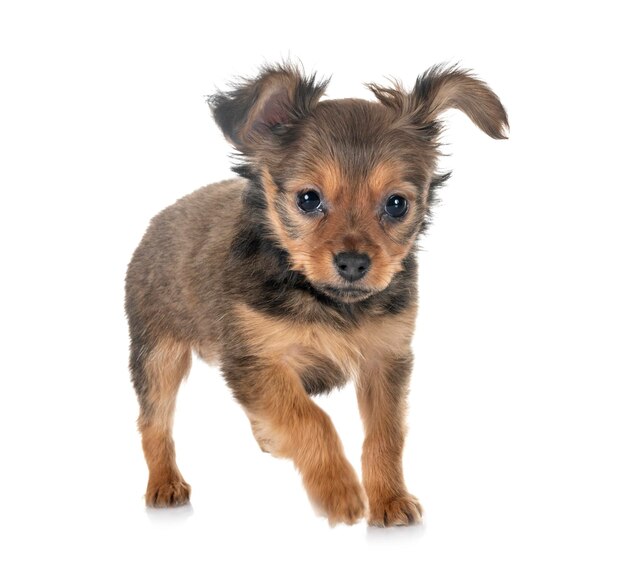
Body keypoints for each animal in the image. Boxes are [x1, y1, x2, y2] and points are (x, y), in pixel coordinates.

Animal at [124, 64, 504, 532]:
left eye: (397, 204)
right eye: (309, 199)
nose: (354, 263)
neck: (326, 300)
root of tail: (161, 217)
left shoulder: (386, 357)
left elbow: (385, 435)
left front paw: (389, 499)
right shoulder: (257, 361)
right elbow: (309, 418)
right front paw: (338, 491)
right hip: (158, 353)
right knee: (154, 420)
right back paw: (164, 482)